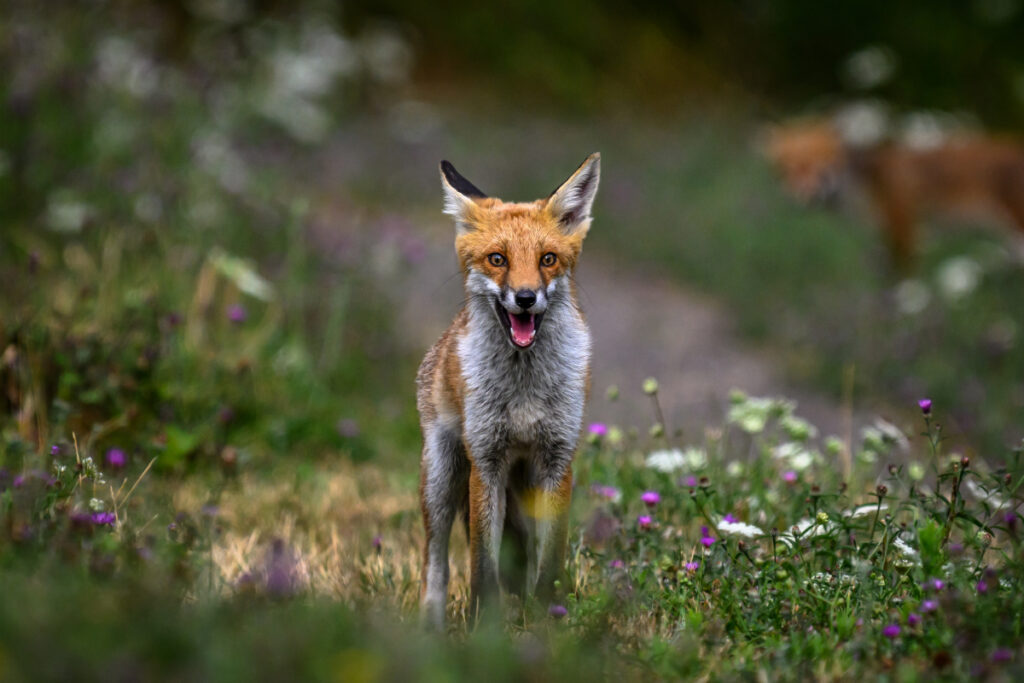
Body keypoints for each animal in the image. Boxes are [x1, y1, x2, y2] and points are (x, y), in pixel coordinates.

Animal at [416, 153, 600, 629]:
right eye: (497, 259)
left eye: (548, 258)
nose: (525, 297)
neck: (523, 394)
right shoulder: (486, 462)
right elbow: (482, 565)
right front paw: (485, 627)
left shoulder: (557, 461)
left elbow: (549, 561)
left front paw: (549, 618)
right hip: (442, 477)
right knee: (435, 560)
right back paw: (431, 626)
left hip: (525, 485)